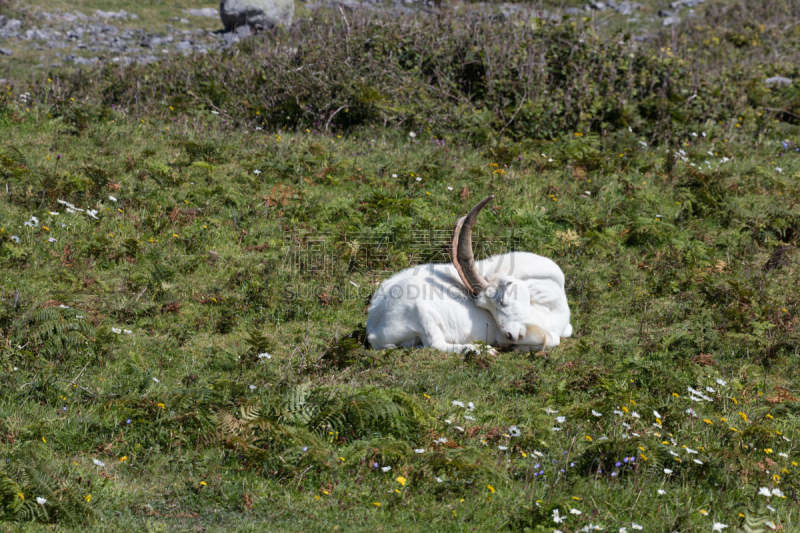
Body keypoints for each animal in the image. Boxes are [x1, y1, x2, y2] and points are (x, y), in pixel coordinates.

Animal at [366, 195, 572, 354]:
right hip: (420, 311)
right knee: (435, 344)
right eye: (488, 307)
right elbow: (552, 340)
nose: (510, 335)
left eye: (501, 302)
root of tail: (373, 328)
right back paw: (483, 351)